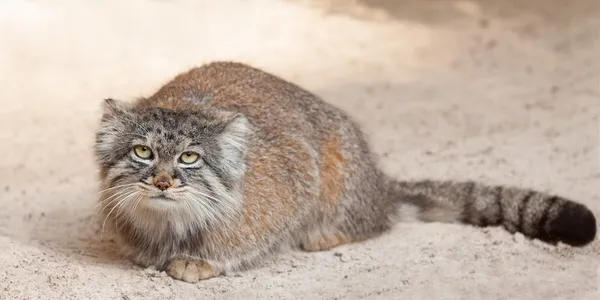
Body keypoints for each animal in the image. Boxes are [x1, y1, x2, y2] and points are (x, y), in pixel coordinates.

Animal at [95, 61, 596, 284]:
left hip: (343, 174)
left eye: (190, 159)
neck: (173, 225)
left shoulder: (295, 177)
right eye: (142, 151)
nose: (162, 180)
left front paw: (202, 260)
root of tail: (381, 184)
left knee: (374, 223)